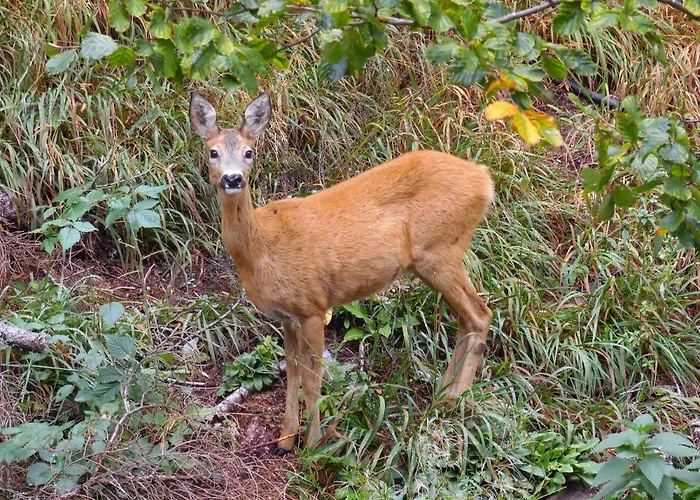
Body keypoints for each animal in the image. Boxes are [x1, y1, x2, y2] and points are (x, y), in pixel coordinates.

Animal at [189, 90, 495, 455]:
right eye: (213, 151)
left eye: (250, 152)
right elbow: (292, 372)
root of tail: (485, 179)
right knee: (466, 318)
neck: (263, 250)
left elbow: (313, 378)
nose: (233, 179)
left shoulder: (313, 306)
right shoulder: (286, 316)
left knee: (480, 314)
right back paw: (442, 397)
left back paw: (453, 404)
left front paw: (313, 446)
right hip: (437, 259)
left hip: (440, 251)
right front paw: (285, 439)